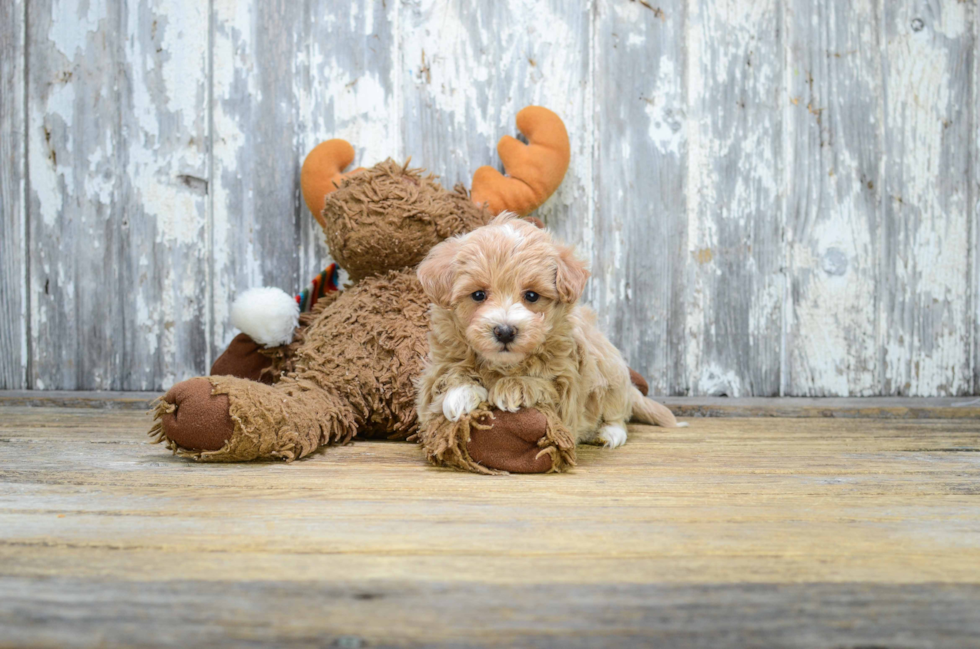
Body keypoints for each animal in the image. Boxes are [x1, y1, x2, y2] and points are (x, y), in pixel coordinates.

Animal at [414, 211, 680, 446]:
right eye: (478, 295)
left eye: (531, 296)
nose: (505, 331)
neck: (504, 365)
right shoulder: (438, 367)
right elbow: (450, 376)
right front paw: (459, 394)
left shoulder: (568, 384)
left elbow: (544, 385)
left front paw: (510, 388)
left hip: (611, 370)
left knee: (617, 412)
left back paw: (609, 433)